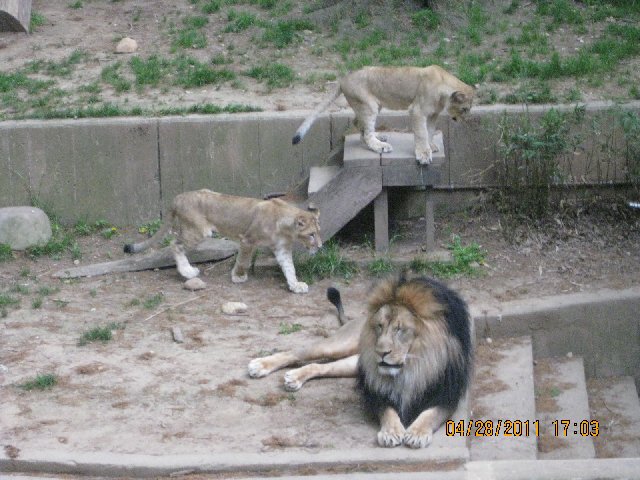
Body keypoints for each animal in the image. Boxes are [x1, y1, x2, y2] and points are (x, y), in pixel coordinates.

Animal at [124, 189, 321, 294]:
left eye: (318, 233)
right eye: (311, 234)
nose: (320, 246)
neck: (286, 228)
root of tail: (179, 197)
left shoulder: (282, 249)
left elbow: (289, 268)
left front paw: (295, 285)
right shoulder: (248, 239)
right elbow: (244, 260)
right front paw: (238, 277)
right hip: (198, 231)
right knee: (175, 244)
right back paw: (188, 272)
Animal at [248, 273, 473, 448]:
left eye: (400, 329)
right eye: (380, 326)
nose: (381, 352)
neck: (414, 366)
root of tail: (359, 317)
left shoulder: (447, 396)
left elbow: (430, 414)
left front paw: (417, 433)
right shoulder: (376, 392)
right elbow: (388, 411)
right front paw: (391, 432)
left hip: (353, 364)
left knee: (320, 366)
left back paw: (295, 377)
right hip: (341, 346)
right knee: (298, 352)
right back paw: (260, 365)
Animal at [292, 65, 474, 164]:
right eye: (465, 109)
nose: (465, 120)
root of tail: (343, 79)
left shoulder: (432, 114)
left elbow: (429, 131)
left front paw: (430, 147)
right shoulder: (417, 110)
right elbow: (422, 133)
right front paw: (423, 154)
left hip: (372, 105)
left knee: (360, 125)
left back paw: (380, 137)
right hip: (370, 106)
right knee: (366, 133)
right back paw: (380, 146)